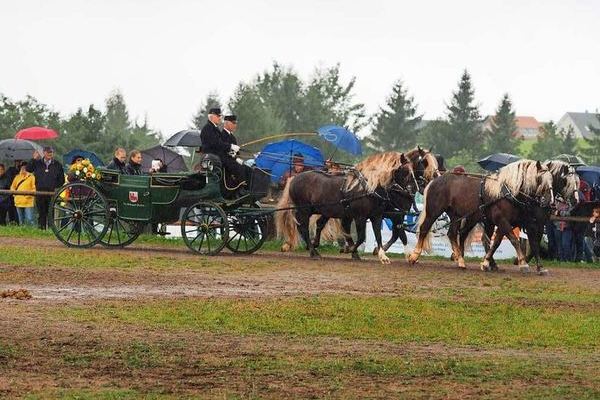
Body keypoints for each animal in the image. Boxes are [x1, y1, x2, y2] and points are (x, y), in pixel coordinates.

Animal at [276, 152, 418, 264]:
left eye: (413, 170)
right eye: (405, 171)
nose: (413, 191)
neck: (369, 188)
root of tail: (294, 178)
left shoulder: (376, 216)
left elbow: (378, 235)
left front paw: (383, 256)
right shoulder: (360, 217)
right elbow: (361, 237)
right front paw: (350, 249)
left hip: (318, 210)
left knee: (315, 225)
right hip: (304, 210)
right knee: (303, 229)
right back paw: (313, 252)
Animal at [408, 161, 552, 270]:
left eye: (552, 181)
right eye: (540, 179)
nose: (549, 202)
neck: (507, 192)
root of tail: (435, 181)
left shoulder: (513, 222)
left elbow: (499, 242)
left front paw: (487, 262)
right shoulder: (502, 220)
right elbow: (513, 240)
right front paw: (523, 263)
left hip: (456, 215)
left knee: (453, 234)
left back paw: (460, 260)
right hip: (434, 211)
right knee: (424, 228)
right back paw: (414, 256)